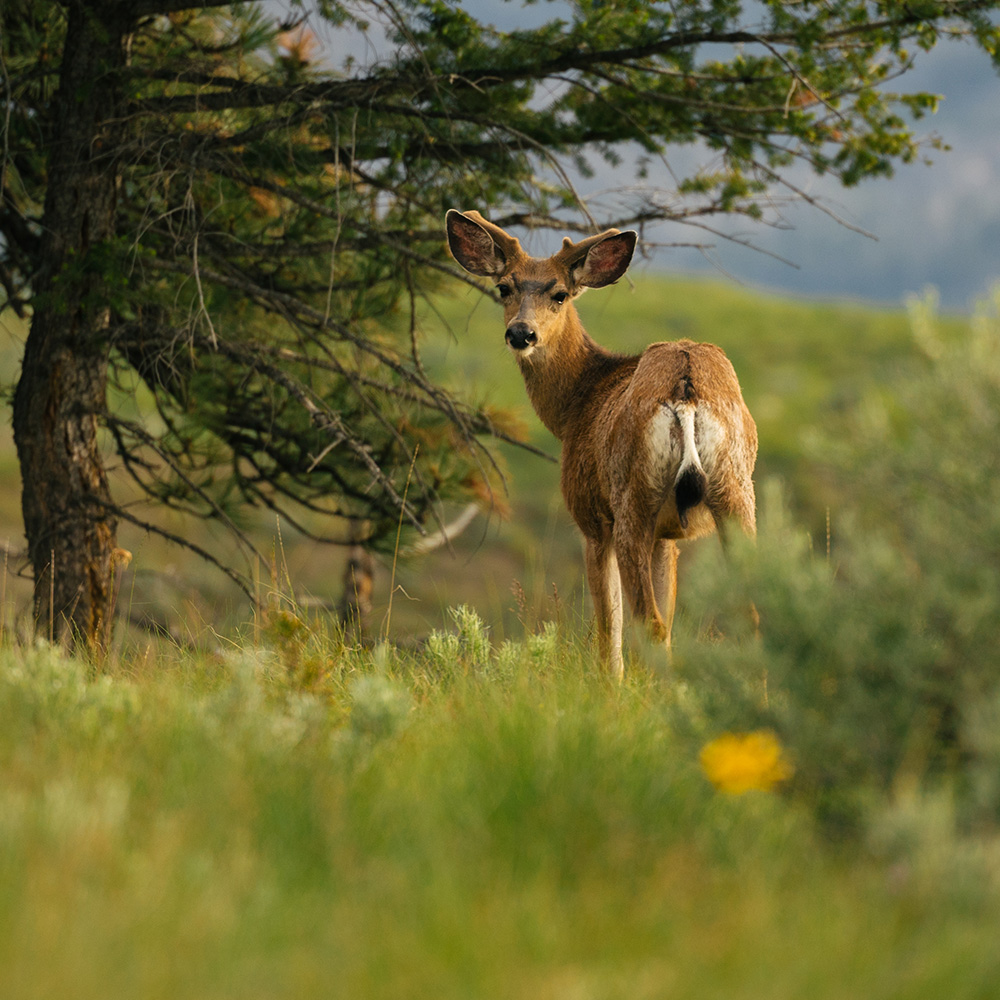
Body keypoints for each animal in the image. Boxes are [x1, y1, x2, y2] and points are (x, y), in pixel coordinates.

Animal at [446, 210, 756, 680]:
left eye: (559, 294)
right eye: (504, 287)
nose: (521, 333)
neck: (578, 402)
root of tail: (686, 388)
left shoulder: (591, 518)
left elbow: (609, 627)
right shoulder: (667, 537)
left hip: (632, 500)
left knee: (649, 624)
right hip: (735, 491)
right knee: (751, 615)